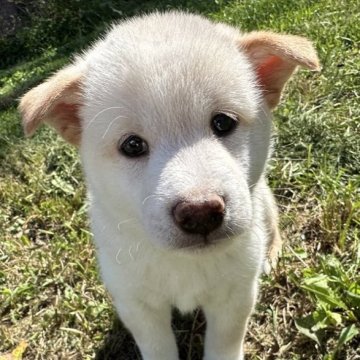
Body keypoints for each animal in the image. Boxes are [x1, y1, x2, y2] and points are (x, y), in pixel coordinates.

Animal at [19, 11, 320, 360]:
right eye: (132, 145)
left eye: (223, 122)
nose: (201, 212)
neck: (183, 261)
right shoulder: (137, 304)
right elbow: (157, 347)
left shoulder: (236, 295)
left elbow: (225, 342)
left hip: (262, 203)